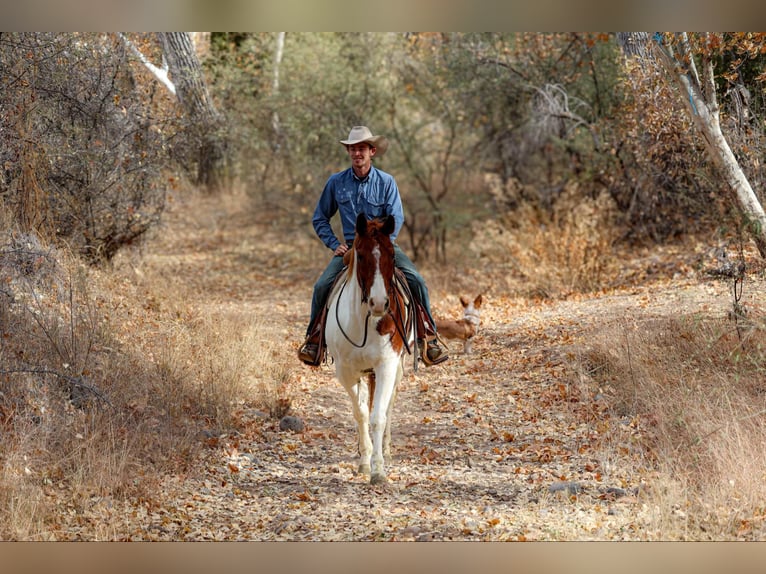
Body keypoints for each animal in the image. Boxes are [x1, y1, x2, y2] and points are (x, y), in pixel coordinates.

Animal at [324, 212, 415, 485]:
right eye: (361, 255)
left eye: (392, 256)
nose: (379, 303)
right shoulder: (346, 371)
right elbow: (362, 413)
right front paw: (365, 462)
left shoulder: (386, 365)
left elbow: (378, 416)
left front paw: (379, 469)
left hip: (396, 370)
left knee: (389, 404)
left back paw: (385, 448)